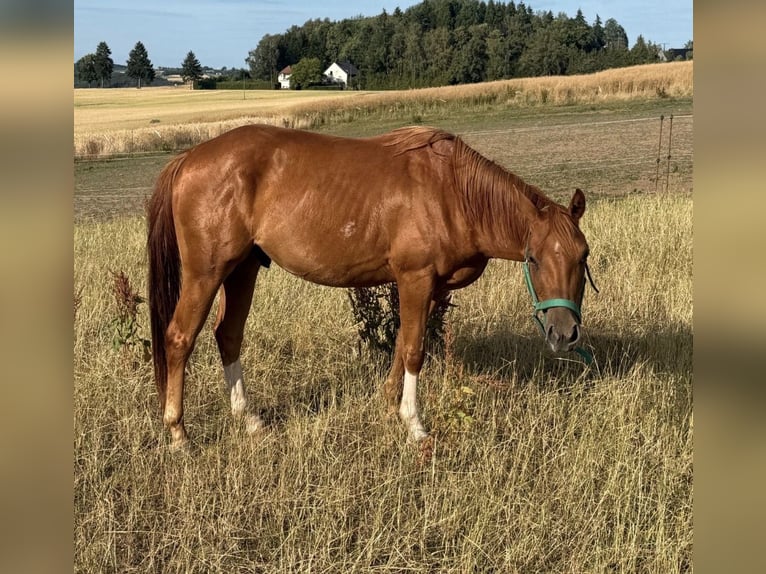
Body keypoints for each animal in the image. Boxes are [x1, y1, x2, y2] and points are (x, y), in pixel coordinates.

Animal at [147, 124, 593, 449]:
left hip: (243, 269)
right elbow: (414, 351)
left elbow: (403, 344)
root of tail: (188, 159)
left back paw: (250, 419)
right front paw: (414, 425)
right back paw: (178, 433)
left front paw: (388, 402)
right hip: (207, 273)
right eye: (534, 259)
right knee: (179, 338)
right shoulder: (415, 278)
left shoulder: (430, 288)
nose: (564, 333)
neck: (452, 191)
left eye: (583, 256)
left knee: (228, 334)